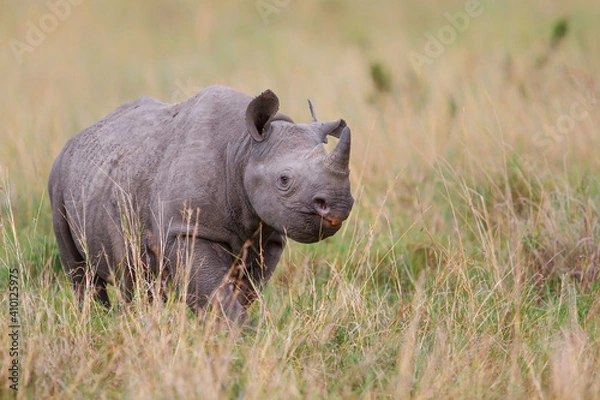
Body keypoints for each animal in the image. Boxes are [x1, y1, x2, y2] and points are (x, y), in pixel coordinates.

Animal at [49, 86, 354, 324]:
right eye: (284, 179)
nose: (339, 205)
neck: (243, 149)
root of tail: (79, 136)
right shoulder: (185, 230)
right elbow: (215, 289)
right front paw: (240, 337)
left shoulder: (268, 237)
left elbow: (244, 290)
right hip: (58, 178)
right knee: (81, 271)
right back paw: (97, 321)